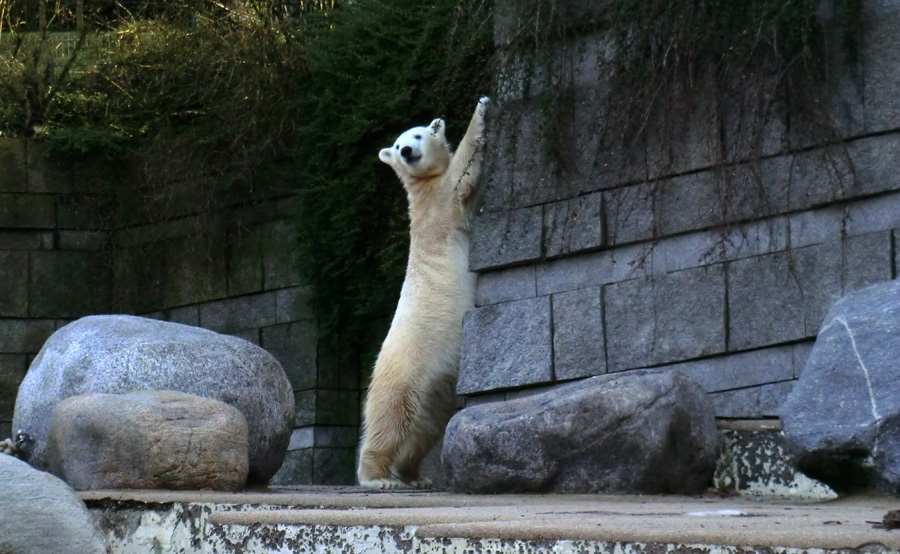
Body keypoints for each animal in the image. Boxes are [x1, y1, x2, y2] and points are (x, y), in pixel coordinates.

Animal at [356, 97, 488, 486]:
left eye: (414, 136)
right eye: (399, 144)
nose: (406, 151)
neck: (420, 188)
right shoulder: (440, 205)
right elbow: (463, 172)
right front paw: (483, 110)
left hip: (434, 384)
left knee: (424, 427)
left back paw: (414, 475)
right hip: (405, 367)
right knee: (391, 416)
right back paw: (377, 476)